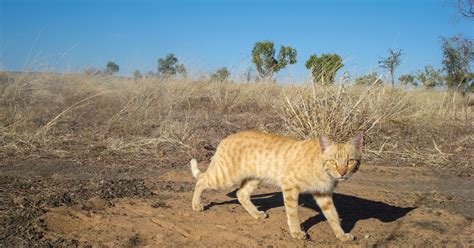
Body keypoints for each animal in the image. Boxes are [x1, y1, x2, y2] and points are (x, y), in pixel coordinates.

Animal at [189, 131, 362, 241]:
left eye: (350, 161)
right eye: (333, 161)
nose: (342, 173)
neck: (322, 169)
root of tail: (226, 138)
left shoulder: (323, 195)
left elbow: (333, 216)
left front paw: (341, 235)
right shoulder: (290, 187)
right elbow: (293, 214)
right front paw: (296, 232)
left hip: (255, 179)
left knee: (241, 194)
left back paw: (256, 214)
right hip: (225, 177)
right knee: (201, 180)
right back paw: (196, 205)